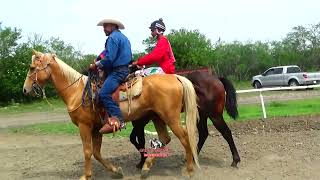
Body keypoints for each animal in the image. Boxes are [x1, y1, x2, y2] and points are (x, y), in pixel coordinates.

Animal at [23, 50, 200, 179]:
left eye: (32, 68)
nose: (25, 89)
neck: (77, 91)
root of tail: (175, 77)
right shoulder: (97, 129)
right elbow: (96, 152)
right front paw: (116, 171)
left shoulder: (84, 126)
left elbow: (87, 151)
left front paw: (86, 176)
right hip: (157, 117)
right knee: (165, 138)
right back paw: (146, 167)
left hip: (171, 118)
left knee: (185, 138)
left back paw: (189, 170)